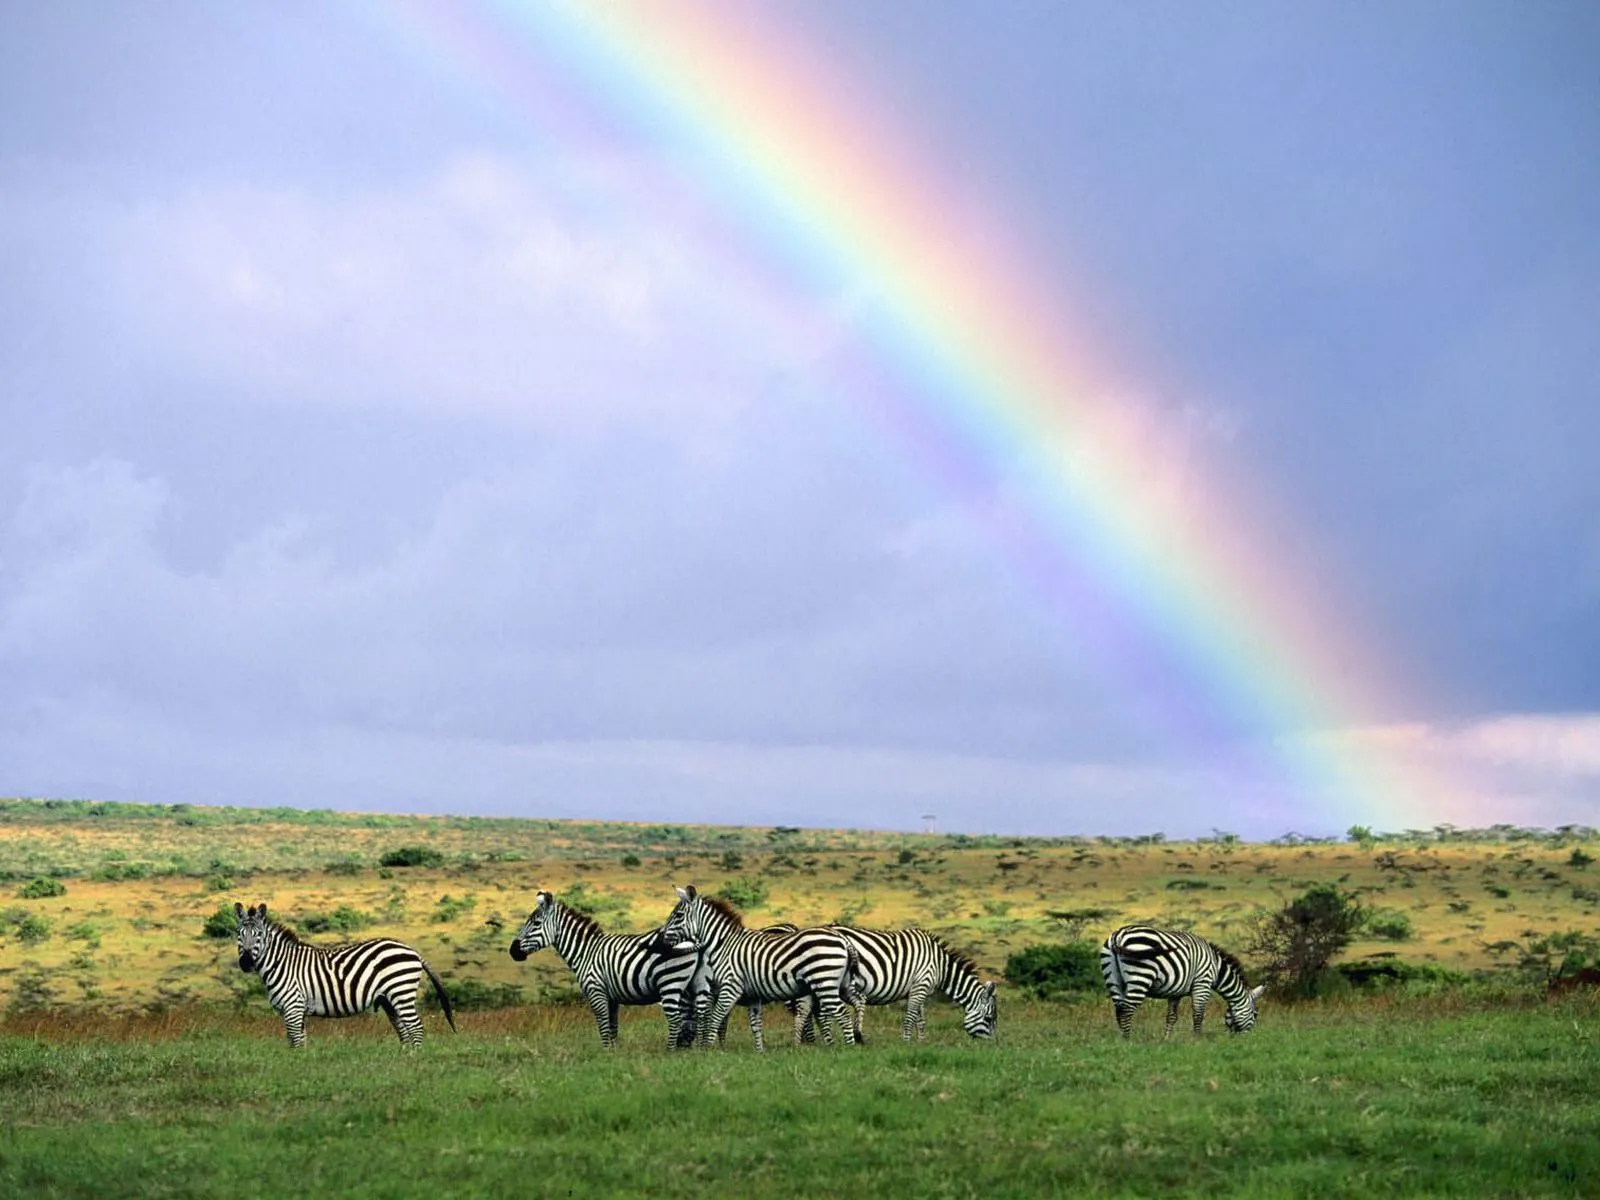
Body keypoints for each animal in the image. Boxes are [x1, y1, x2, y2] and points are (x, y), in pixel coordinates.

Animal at [233, 902, 457, 1049]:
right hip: (390, 1000)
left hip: (401, 992)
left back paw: (414, 1061)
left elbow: (295, 1042)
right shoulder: (296, 1010)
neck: (281, 964)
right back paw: (404, 1058)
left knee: (416, 1027)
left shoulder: (293, 1007)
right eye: (239, 934)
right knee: (404, 1030)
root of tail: (413, 951)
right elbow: (300, 1041)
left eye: (258, 935)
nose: (245, 963)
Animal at [505, 896, 694, 1049]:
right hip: (687, 986)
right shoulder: (612, 997)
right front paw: (614, 1052)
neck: (586, 952)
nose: (512, 951)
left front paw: (606, 1053)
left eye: (536, 924)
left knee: (676, 1019)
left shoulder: (596, 991)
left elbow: (603, 1025)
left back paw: (671, 1051)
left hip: (670, 982)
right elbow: (613, 1027)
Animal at [656, 883, 864, 1049]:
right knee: (854, 1002)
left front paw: (707, 1050)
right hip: (841, 983)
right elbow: (755, 1025)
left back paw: (848, 1050)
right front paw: (759, 1051)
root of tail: (843, 939)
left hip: (824, 982)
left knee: (842, 1013)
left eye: (678, 915)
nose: (661, 942)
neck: (724, 944)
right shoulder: (753, 995)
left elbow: (715, 1018)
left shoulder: (730, 987)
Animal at [793, 928, 992, 1043]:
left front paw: (921, 1042)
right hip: (827, 978)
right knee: (822, 1012)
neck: (940, 966)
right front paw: (906, 1042)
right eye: (989, 1019)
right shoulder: (921, 983)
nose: (992, 1047)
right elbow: (910, 1016)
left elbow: (921, 1018)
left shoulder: (918, 987)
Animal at [1100, 928, 1260, 1036]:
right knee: (1127, 1010)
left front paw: (1166, 1039)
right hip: (1140, 976)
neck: (1216, 968)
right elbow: (1198, 1014)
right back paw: (1128, 1041)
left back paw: (1122, 1041)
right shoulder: (1202, 984)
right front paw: (1197, 1040)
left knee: (1119, 1010)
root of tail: (1119, 935)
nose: (1245, 1040)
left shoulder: (1175, 992)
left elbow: (1171, 1017)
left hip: (1113, 979)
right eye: (1255, 1014)